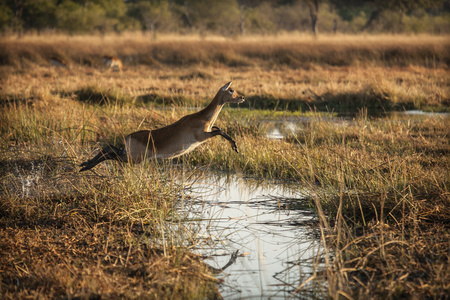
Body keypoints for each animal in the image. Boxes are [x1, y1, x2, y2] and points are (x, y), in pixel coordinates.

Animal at [79, 81, 244, 172]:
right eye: (231, 90)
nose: (242, 97)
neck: (203, 117)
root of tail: (128, 136)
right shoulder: (202, 136)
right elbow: (221, 131)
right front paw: (235, 147)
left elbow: (219, 129)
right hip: (132, 158)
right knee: (110, 152)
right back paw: (86, 166)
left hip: (128, 154)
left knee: (109, 148)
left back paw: (84, 164)